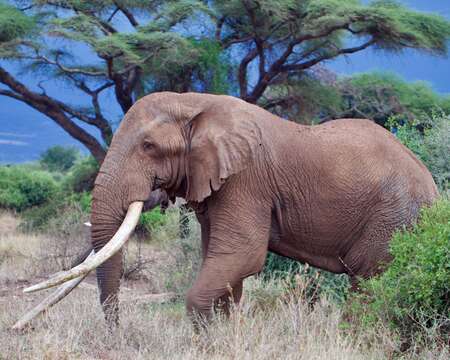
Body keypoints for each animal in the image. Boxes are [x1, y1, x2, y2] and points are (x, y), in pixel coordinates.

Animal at [26, 92, 438, 324]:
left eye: (148, 146)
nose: (118, 335)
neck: (195, 102)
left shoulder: (246, 181)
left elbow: (242, 255)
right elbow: (222, 262)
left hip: (393, 220)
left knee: (368, 286)